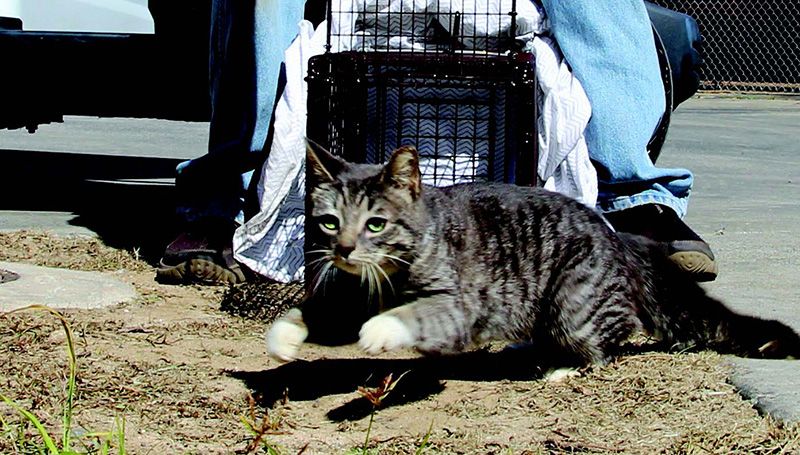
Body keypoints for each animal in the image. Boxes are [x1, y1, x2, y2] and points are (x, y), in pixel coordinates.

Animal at [268, 142, 800, 366]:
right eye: (329, 221)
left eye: (375, 223)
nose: (343, 249)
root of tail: (618, 236)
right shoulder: (350, 294)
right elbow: (318, 313)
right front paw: (285, 336)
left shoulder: (462, 303)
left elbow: (419, 313)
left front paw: (381, 329)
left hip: (573, 301)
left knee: (609, 338)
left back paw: (564, 367)